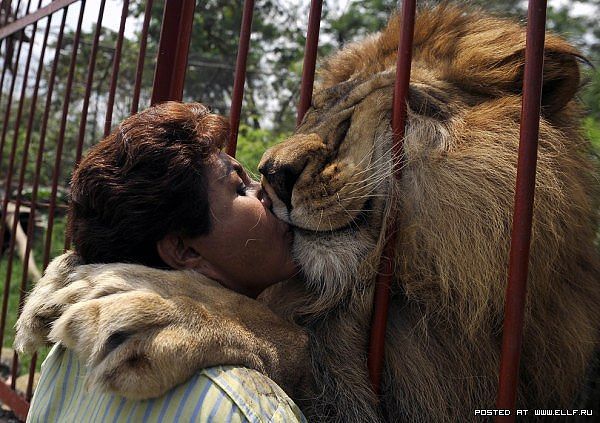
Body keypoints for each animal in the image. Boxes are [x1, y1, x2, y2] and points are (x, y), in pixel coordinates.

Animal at [14, 4, 600, 423]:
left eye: (389, 108)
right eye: (320, 108)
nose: (272, 175)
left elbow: (293, 336)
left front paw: (166, 308)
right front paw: (55, 284)